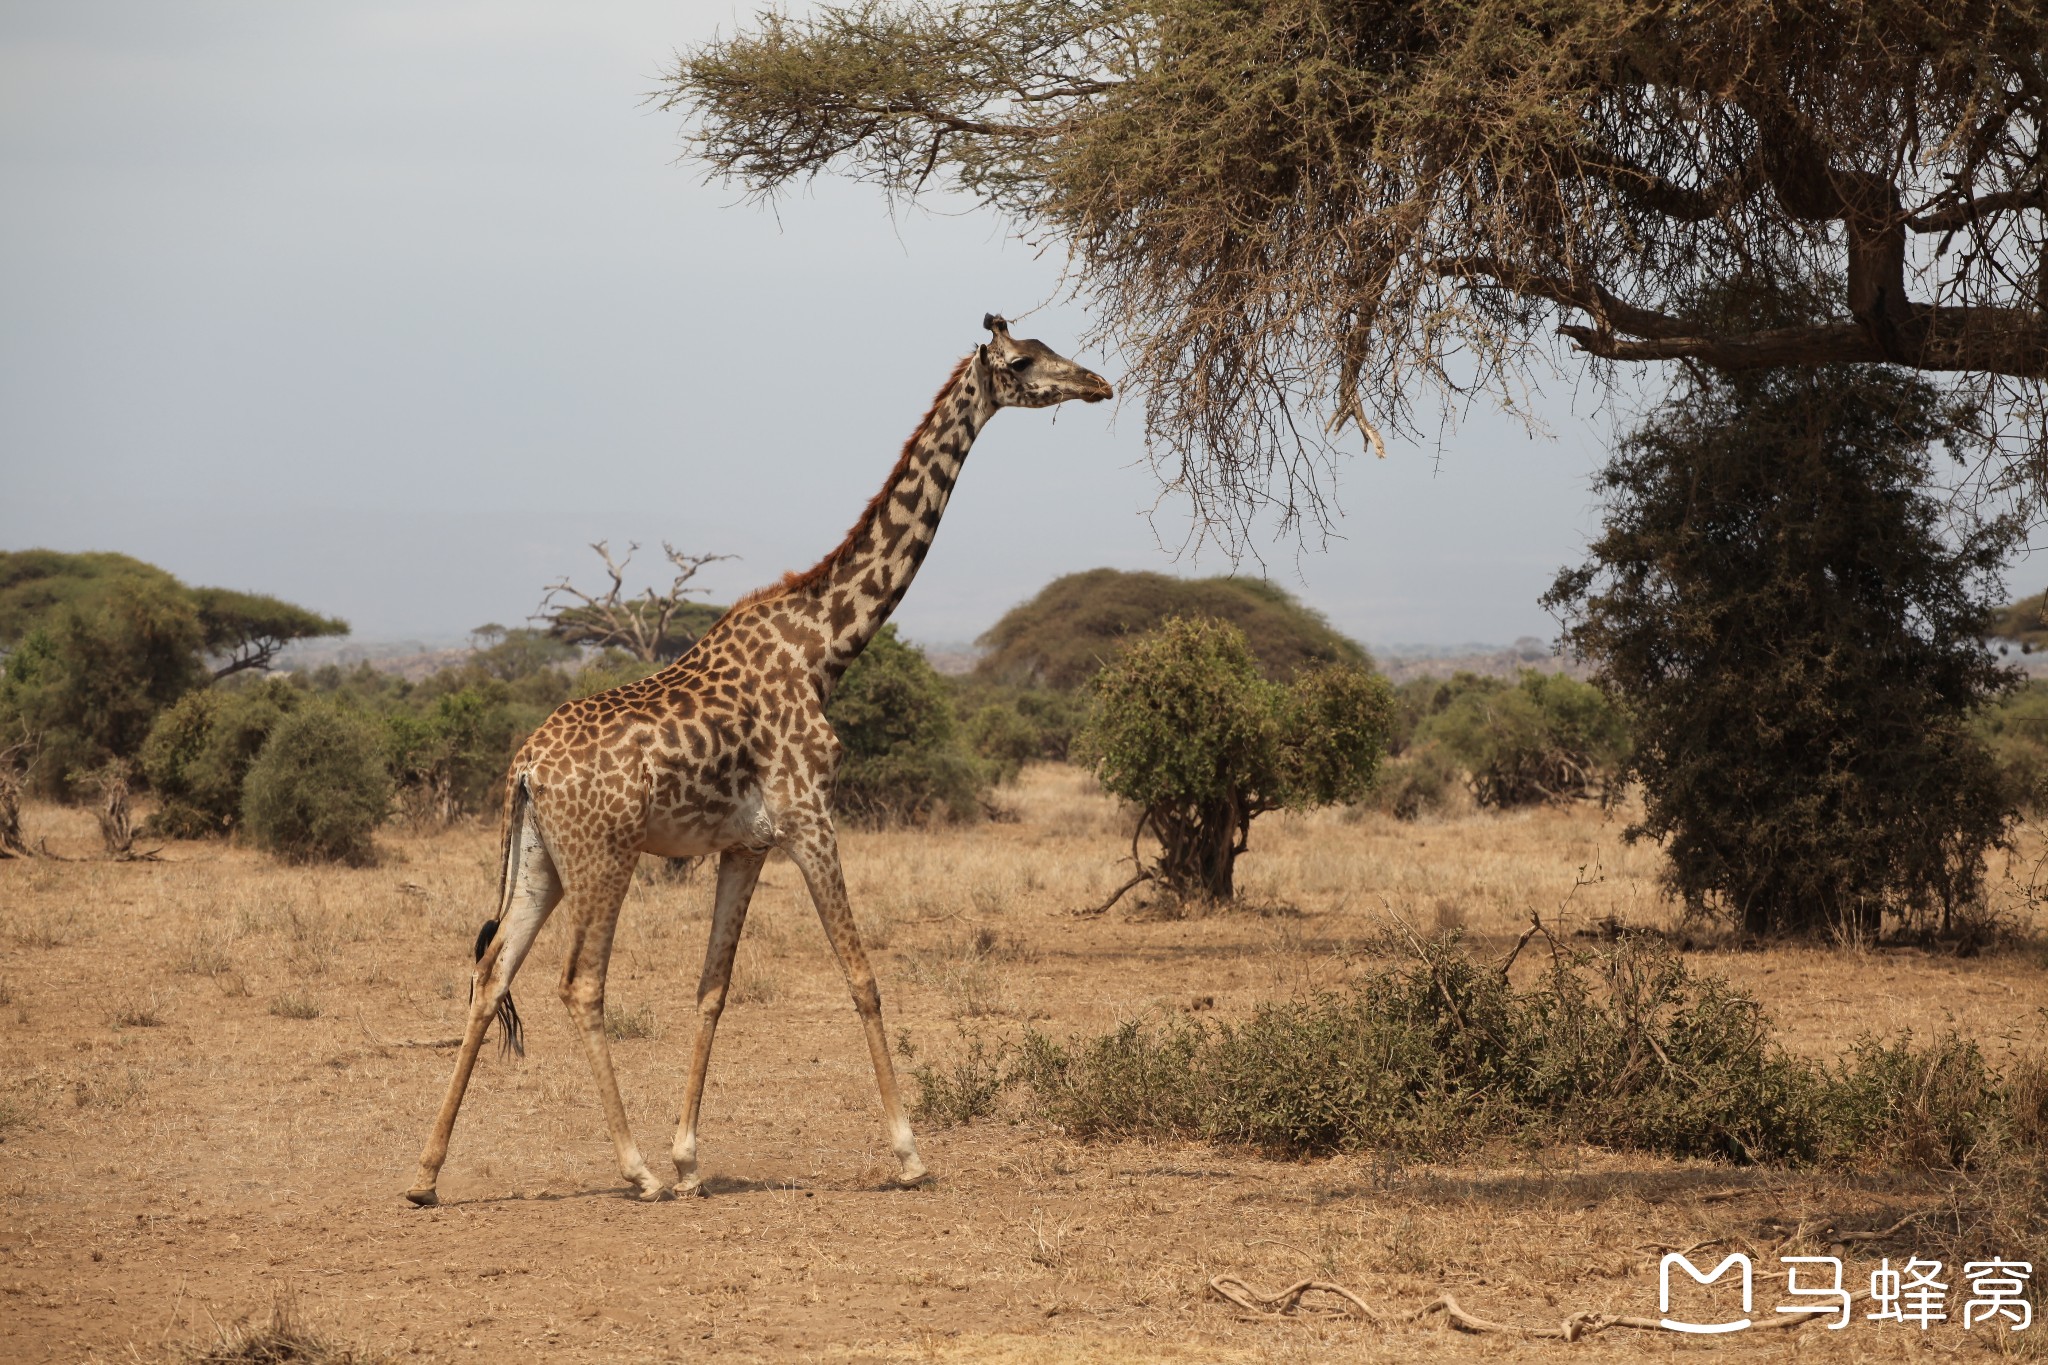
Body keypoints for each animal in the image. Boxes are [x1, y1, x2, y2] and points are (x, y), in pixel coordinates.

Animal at [399, 313, 1105, 1203]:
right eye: (1024, 361)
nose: (1098, 383)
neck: (826, 646)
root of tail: (524, 766)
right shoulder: (810, 817)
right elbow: (862, 976)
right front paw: (909, 1153)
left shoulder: (746, 844)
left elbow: (713, 989)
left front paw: (690, 1159)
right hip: (605, 855)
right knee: (579, 982)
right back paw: (633, 1170)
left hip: (540, 861)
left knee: (492, 975)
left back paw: (427, 1172)